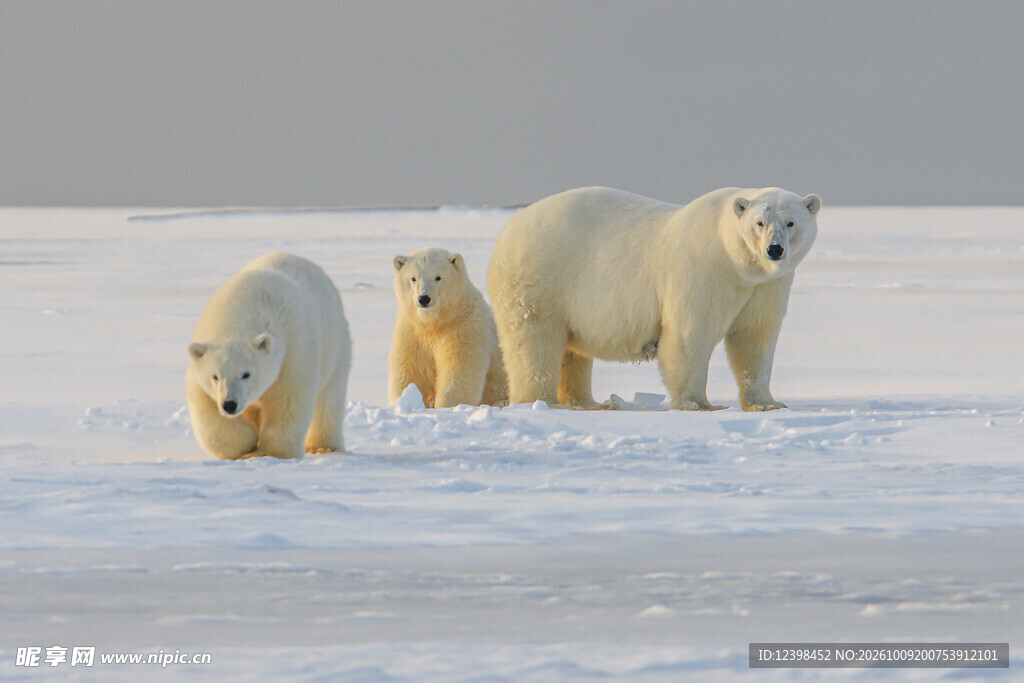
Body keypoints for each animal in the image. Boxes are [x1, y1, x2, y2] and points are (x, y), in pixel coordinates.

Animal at [186, 251, 352, 459]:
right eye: (215, 376)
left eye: (246, 374)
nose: (229, 405)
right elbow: (205, 408)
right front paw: (246, 444)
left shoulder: (294, 350)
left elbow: (288, 400)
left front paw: (270, 452)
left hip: (336, 344)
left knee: (329, 398)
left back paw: (323, 446)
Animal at [388, 247, 507, 408]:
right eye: (413, 278)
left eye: (438, 277)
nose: (424, 298)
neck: (435, 322)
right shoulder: (411, 331)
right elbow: (410, 370)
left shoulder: (463, 327)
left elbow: (459, 370)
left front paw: (446, 405)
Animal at [487, 186, 820, 411]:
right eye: (759, 223)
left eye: (791, 222)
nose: (774, 249)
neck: (736, 261)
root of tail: (507, 230)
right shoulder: (703, 270)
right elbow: (690, 334)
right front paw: (698, 404)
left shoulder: (766, 286)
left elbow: (755, 337)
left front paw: (767, 403)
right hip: (541, 279)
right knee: (534, 341)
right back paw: (542, 401)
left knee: (573, 351)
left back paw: (589, 402)